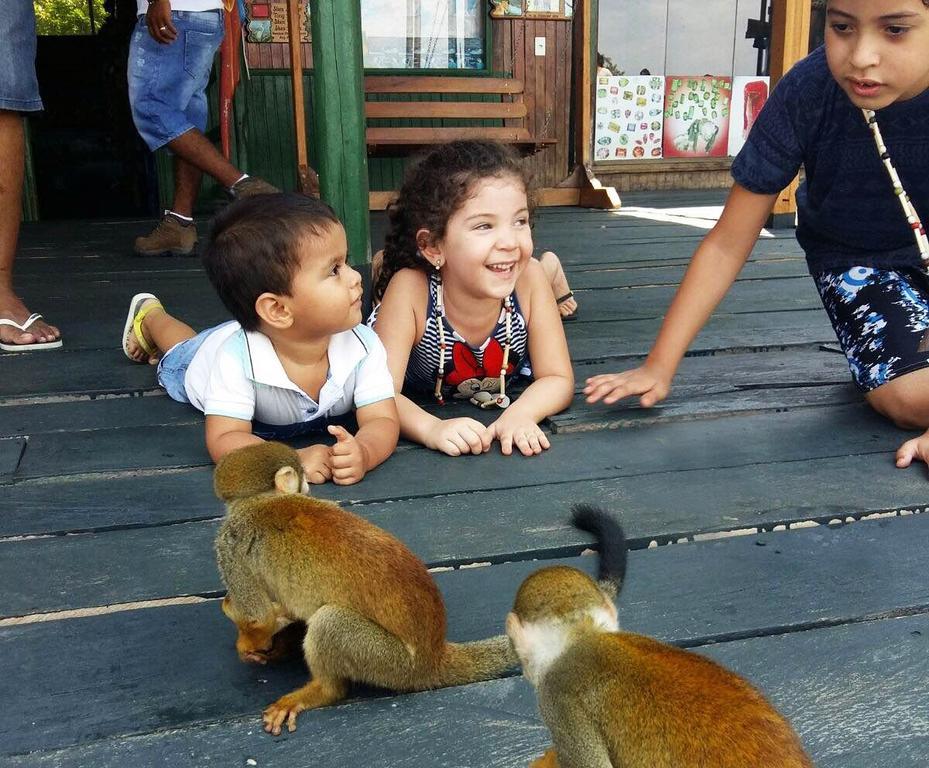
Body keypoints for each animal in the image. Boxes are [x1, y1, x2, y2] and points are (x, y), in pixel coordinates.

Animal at [212, 444, 516, 736]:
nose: (308, 485)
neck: (261, 500)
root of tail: (433, 657)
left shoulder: (229, 544)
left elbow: (258, 618)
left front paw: (247, 644)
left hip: (391, 662)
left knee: (329, 621)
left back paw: (323, 690)